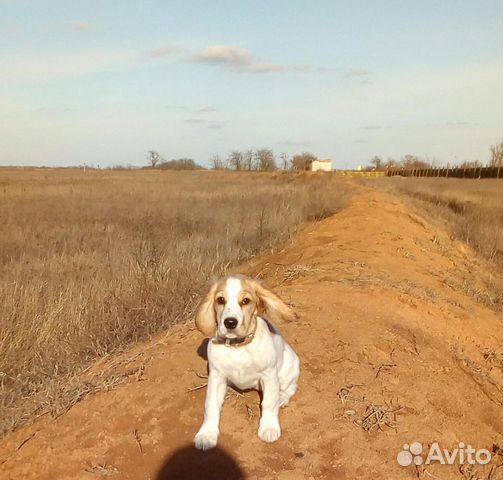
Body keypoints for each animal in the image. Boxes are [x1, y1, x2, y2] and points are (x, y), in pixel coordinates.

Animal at [195, 274, 302, 450]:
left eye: (245, 301)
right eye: (220, 300)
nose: (230, 322)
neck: (238, 347)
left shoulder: (269, 376)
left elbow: (269, 403)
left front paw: (269, 427)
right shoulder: (216, 377)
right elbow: (211, 405)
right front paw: (207, 434)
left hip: (289, 368)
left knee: (290, 389)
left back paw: (282, 399)